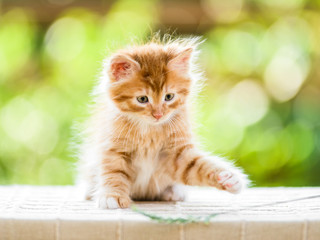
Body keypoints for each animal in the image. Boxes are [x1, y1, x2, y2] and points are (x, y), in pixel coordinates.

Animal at [79, 37, 249, 208]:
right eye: (142, 99)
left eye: (169, 97)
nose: (158, 115)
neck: (150, 131)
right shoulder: (114, 147)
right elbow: (114, 172)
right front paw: (112, 196)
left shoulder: (176, 154)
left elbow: (199, 166)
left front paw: (228, 178)